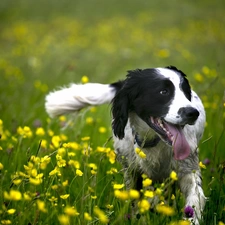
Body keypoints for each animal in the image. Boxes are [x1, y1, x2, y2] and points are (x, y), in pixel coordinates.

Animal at [45, 65, 206, 223]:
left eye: (186, 92)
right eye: (163, 91)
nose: (192, 113)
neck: (152, 142)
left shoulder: (188, 170)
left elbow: (193, 203)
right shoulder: (133, 173)